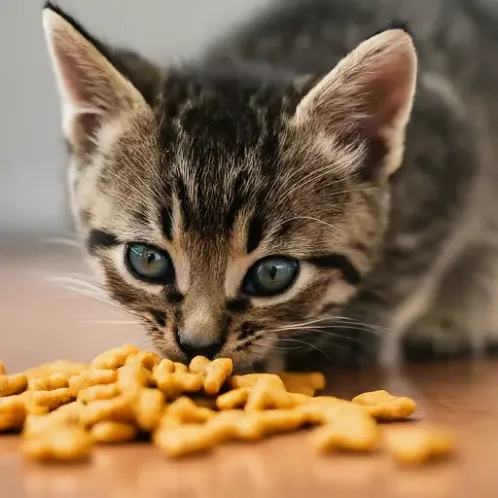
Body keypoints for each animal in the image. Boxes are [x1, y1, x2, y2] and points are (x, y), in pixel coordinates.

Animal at [40, 0, 498, 374]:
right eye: (147, 260)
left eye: (273, 274)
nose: (198, 346)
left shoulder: (452, 151)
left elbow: (406, 267)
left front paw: (346, 338)